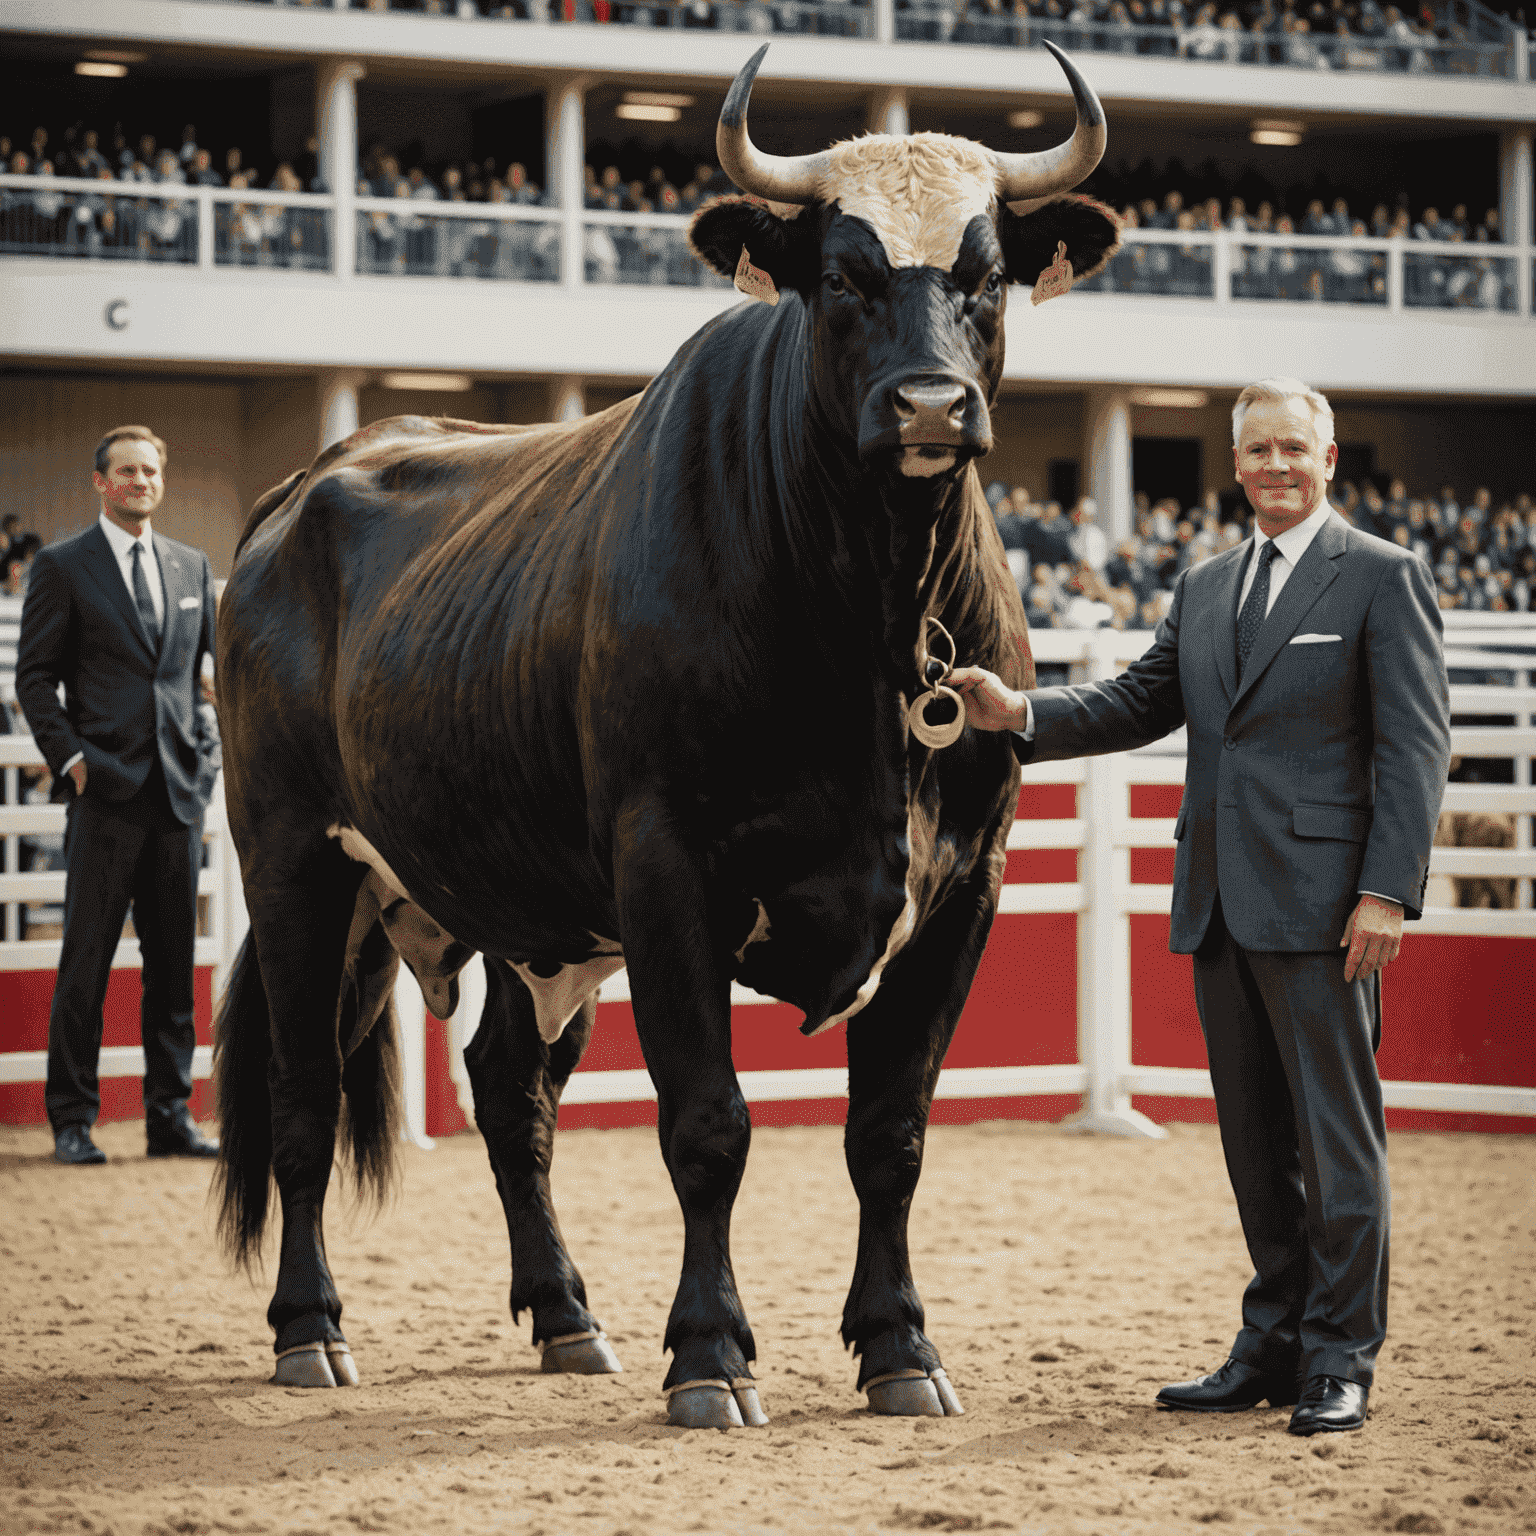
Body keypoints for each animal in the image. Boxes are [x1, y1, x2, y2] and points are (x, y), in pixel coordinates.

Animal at [213, 105, 1118, 1425]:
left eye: (987, 275)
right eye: (840, 279)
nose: (930, 406)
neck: (872, 615)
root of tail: (297, 490)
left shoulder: (965, 889)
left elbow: (891, 1133)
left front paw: (901, 1344)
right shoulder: (665, 870)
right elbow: (708, 1125)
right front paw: (708, 1354)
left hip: (498, 902)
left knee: (508, 1092)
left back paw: (565, 1316)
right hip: (294, 861)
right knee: (302, 1097)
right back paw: (307, 1328)